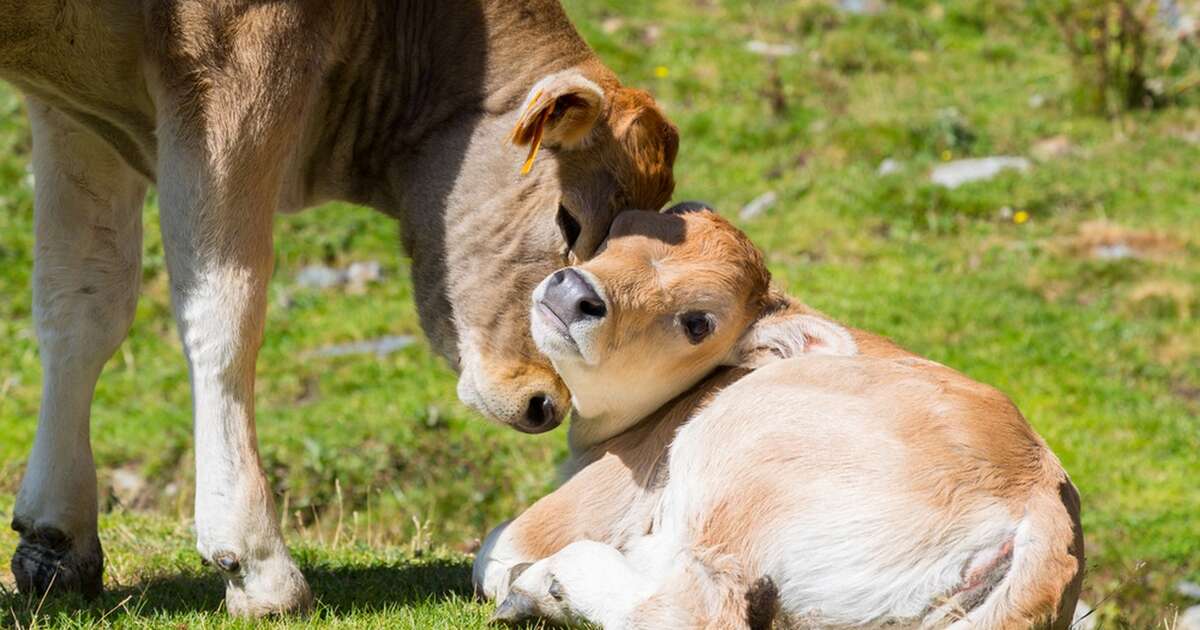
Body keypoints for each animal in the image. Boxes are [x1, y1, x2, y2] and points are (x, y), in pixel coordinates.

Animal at [0, 0, 676, 614]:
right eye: (568, 220)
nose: (544, 404)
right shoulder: (229, 68)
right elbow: (223, 310)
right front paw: (256, 563)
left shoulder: (74, 111)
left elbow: (83, 304)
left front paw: (55, 537)